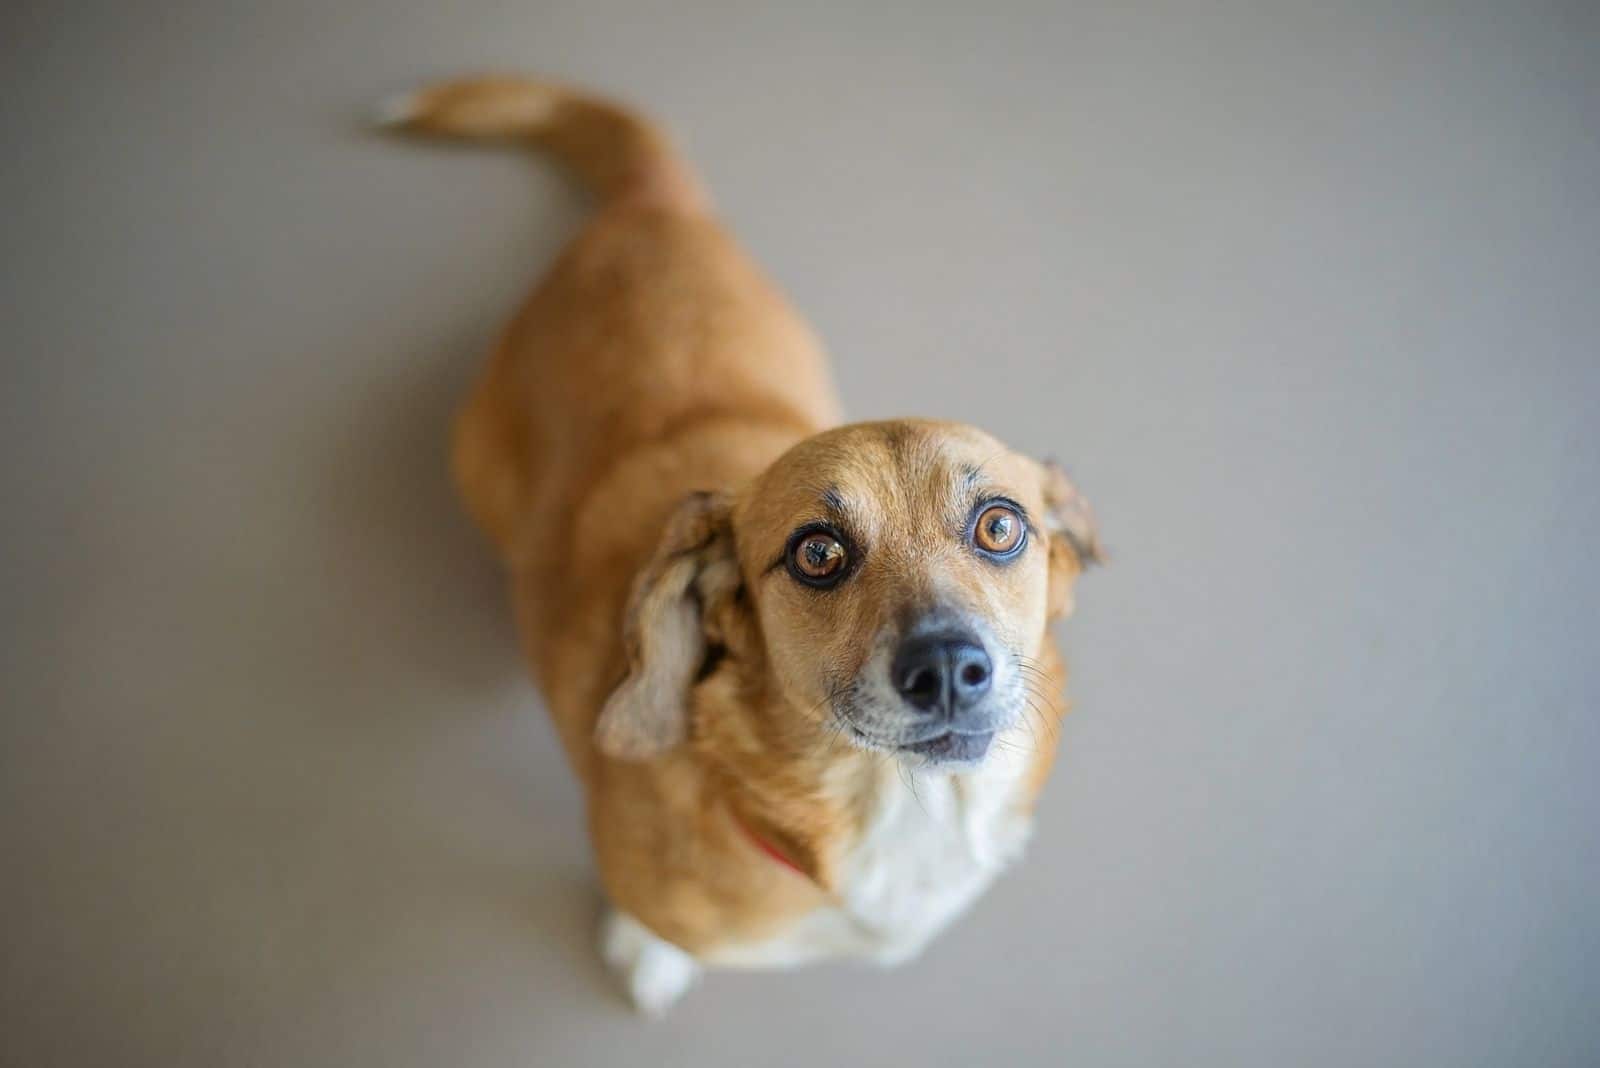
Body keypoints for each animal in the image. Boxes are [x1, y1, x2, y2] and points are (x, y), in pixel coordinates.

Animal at [379, 77, 1100, 1016]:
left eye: (1001, 526)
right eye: (817, 554)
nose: (947, 668)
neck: (891, 809)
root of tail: (650, 205)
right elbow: (648, 925)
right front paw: (648, 954)